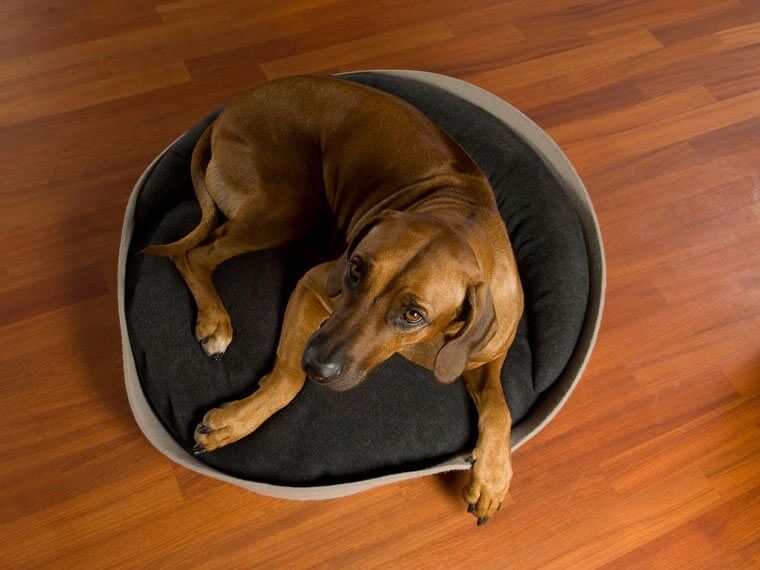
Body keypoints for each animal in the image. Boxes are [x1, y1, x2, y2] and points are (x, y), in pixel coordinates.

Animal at [142, 75, 524, 524]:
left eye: (413, 314)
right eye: (356, 268)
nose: (317, 364)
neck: (461, 220)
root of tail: (227, 112)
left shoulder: (487, 355)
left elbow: (499, 405)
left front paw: (493, 476)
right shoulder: (313, 286)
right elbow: (289, 378)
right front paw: (233, 422)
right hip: (289, 206)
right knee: (194, 254)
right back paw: (215, 321)